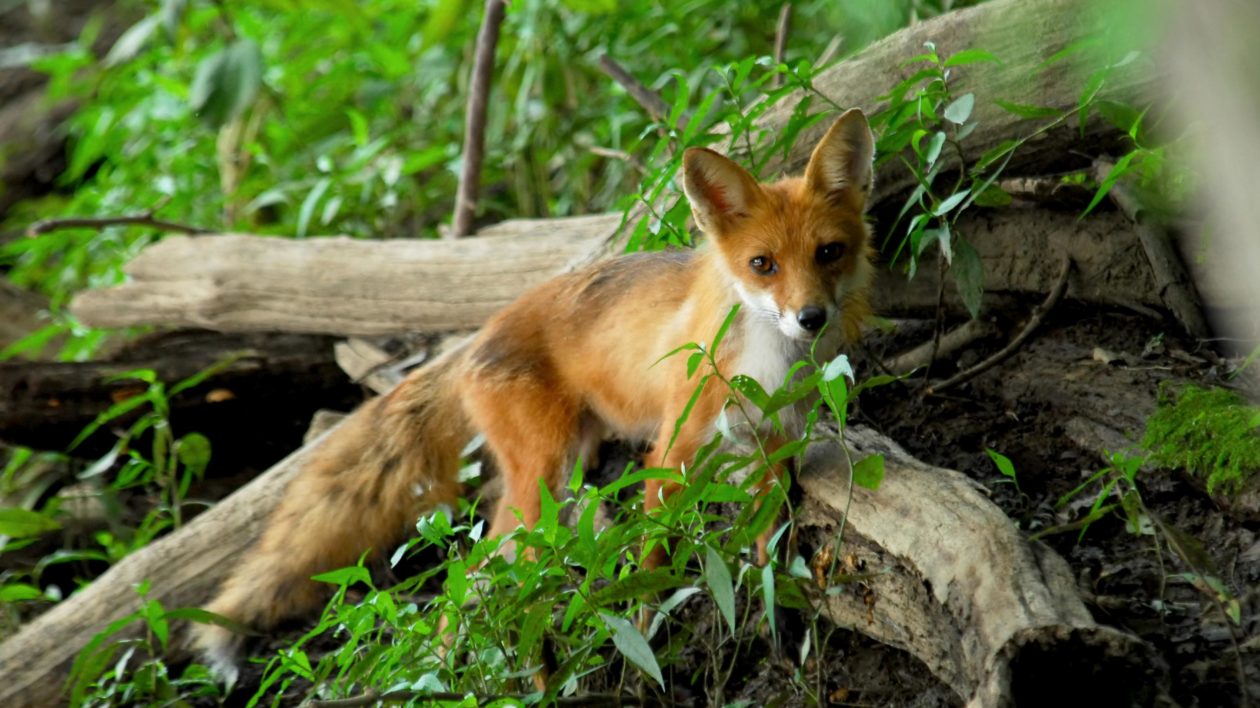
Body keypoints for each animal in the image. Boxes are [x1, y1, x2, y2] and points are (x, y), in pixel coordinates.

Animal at [191, 107, 876, 675]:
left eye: (829, 252)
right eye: (763, 265)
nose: (810, 318)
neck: (765, 364)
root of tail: (477, 337)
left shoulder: (773, 447)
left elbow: (768, 545)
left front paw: (779, 621)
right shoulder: (671, 452)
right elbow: (654, 559)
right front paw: (645, 645)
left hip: (566, 471)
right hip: (539, 480)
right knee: (474, 577)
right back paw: (472, 669)